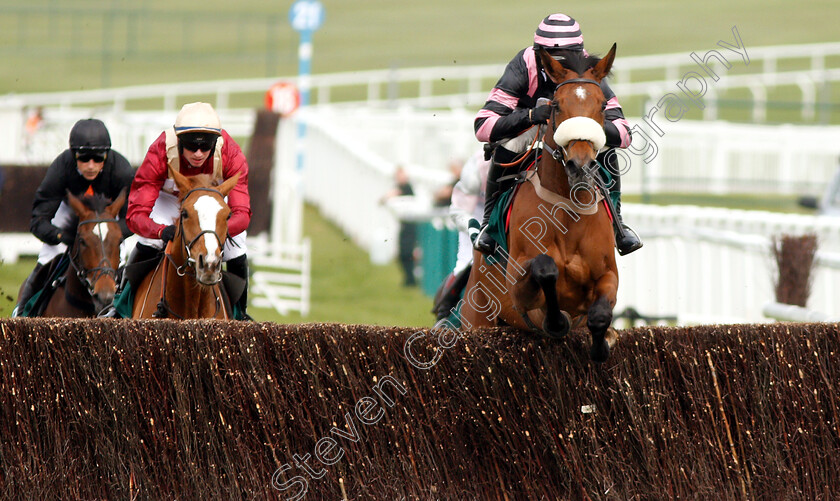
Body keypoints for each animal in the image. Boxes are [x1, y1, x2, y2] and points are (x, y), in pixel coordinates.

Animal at [462, 45, 620, 362]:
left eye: (601, 106)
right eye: (556, 105)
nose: (580, 165)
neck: (569, 212)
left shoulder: (609, 276)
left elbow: (599, 315)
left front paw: (603, 343)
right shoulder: (518, 288)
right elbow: (545, 270)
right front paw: (557, 320)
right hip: (477, 317)